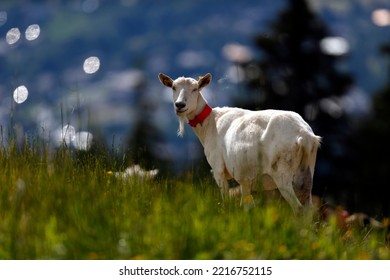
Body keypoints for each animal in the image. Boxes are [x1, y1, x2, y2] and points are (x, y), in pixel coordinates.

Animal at [158, 73, 320, 213]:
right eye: (173, 87)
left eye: (195, 88)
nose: (180, 105)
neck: (210, 123)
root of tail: (305, 136)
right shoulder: (245, 179)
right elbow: (245, 205)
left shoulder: (218, 168)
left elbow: (226, 201)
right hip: (307, 172)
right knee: (308, 209)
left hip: (282, 172)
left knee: (298, 209)